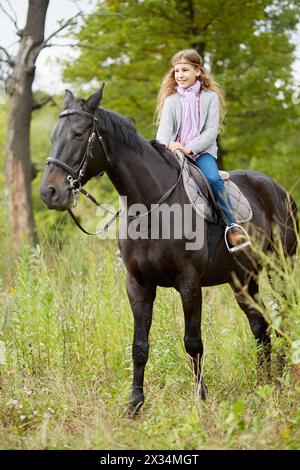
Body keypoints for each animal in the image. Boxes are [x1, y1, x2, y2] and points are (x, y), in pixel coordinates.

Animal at [39, 86, 298, 414]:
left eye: (78, 133)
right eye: (53, 136)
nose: (49, 192)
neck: (152, 207)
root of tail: (279, 191)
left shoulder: (189, 283)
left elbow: (193, 342)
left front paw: (200, 399)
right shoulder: (138, 284)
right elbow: (139, 346)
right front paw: (135, 404)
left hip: (280, 270)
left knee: (283, 317)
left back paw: (284, 377)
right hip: (242, 280)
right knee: (260, 326)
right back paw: (264, 384)